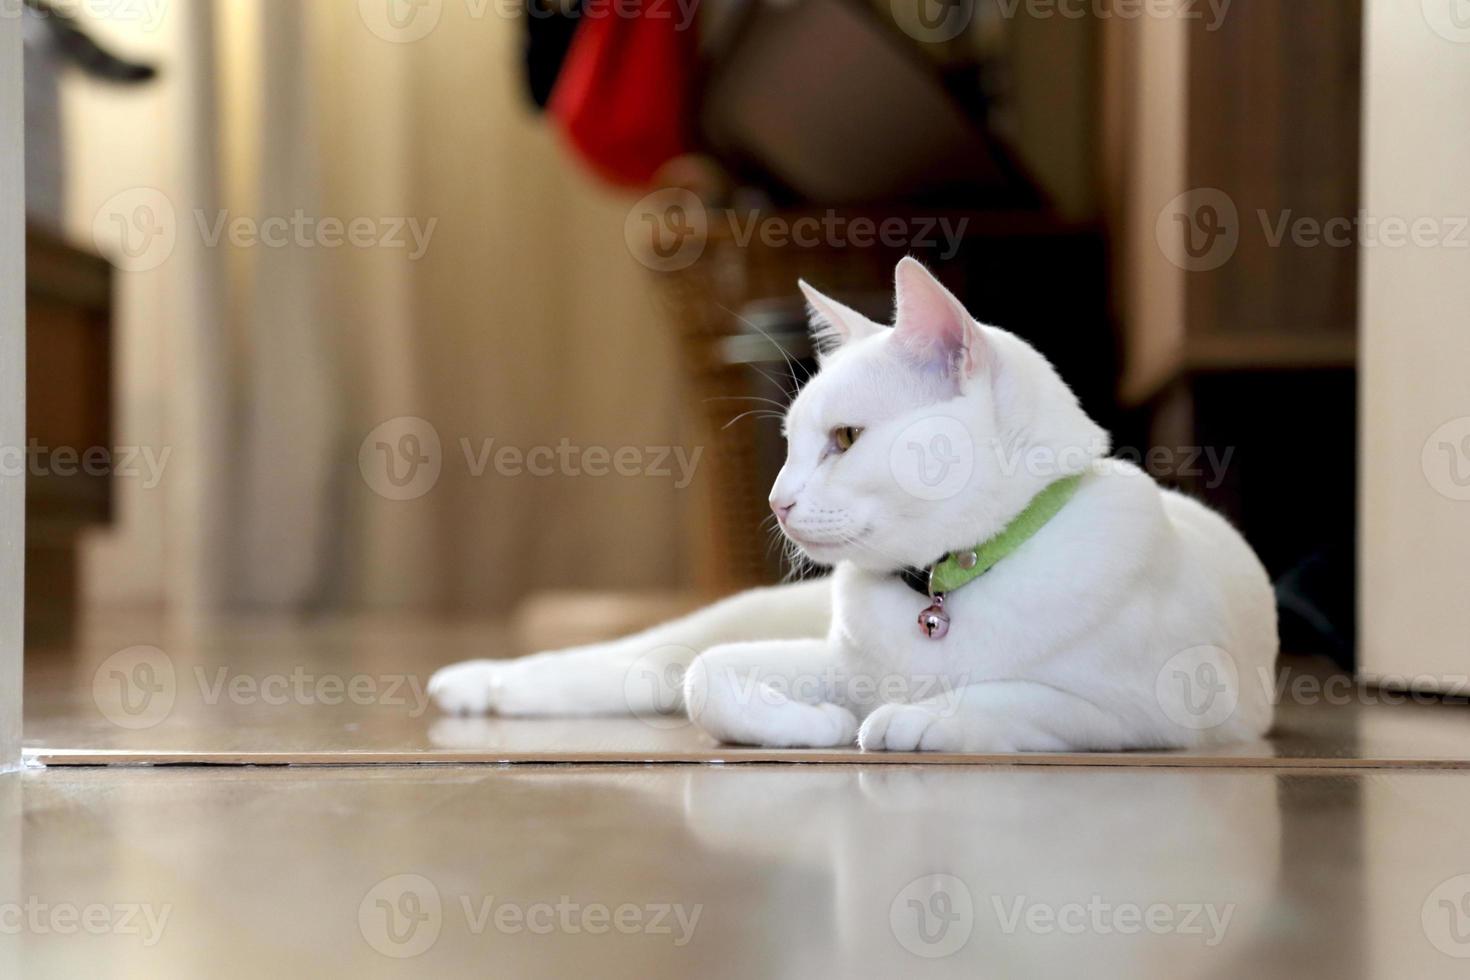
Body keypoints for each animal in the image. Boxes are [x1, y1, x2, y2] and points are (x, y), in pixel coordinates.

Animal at [429, 258, 1275, 752]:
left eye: (843, 439)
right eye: (792, 444)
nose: (777, 501)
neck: (945, 588)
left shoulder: (1154, 716)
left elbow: (1020, 695)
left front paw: (918, 717)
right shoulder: (830, 663)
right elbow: (706, 679)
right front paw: (814, 726)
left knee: (652, 674)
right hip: (742, 616)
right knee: (656, 657)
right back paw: (479, 682)